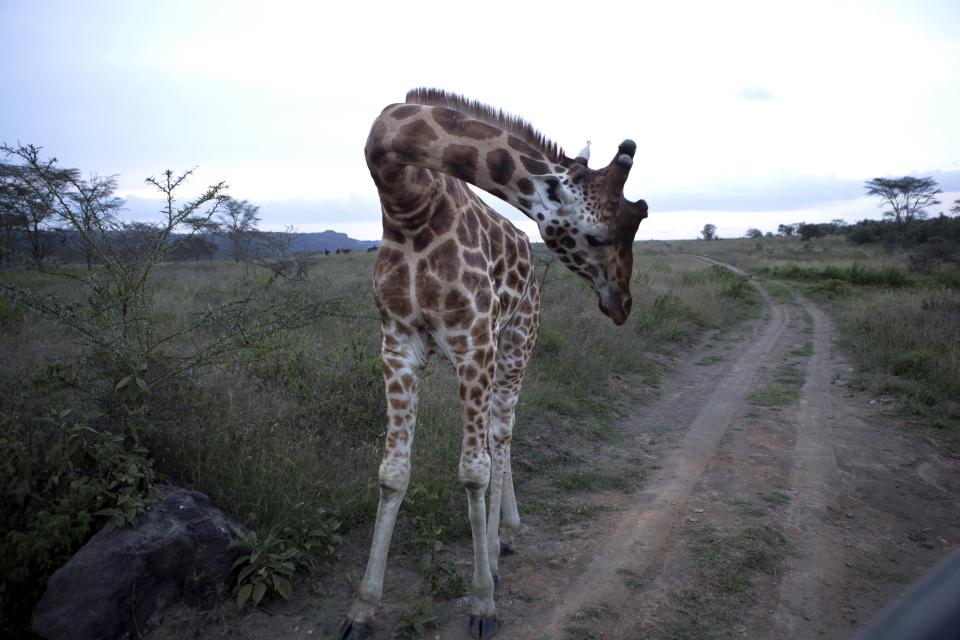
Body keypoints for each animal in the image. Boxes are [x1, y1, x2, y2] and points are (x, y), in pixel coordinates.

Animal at [336, 86, 644, 640]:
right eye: (597, 237)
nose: (621, 305)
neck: (406, 201)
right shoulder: (398, 345)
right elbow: (392, 473)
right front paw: (362, 608)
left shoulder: (472, 341)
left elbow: (473, 471)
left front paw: (482, 602)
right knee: (500, 432)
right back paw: (505, 538)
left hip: (516, 344)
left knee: (501, 432)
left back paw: (503, 547)